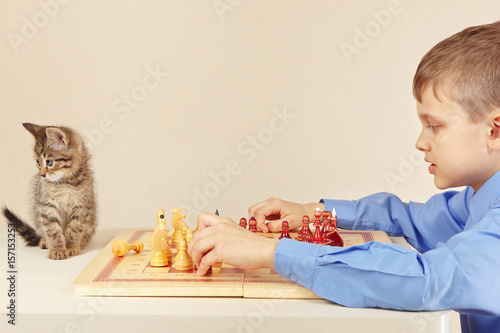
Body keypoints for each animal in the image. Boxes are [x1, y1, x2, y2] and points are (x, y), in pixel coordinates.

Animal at [3, 122, 97, 260]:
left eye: (50, 162)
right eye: (38, 162)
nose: (42, 175)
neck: (65, 183)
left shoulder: (82, 206)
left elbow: (75, 228)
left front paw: (71, 245)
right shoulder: (46, 206)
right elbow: (52, 230)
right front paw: (57, 248)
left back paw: (82, 240)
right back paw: (45, 241)